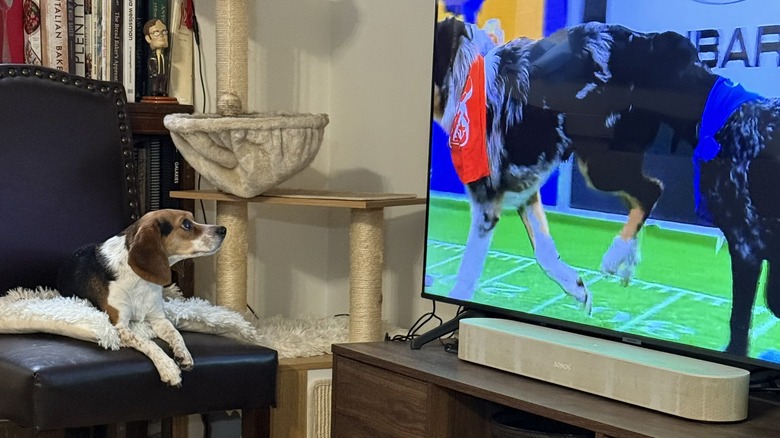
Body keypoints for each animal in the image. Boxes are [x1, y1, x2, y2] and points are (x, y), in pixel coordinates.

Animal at [432, 18, 780, 356]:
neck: (464, 77)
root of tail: (648, 40)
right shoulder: (523, 191)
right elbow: (544, 253)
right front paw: (574, 286)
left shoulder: (488, 200)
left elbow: (469, 271)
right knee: (644, 195)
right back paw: (627, 259)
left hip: (601, 162)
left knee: (650, 191)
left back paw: (617, 255)